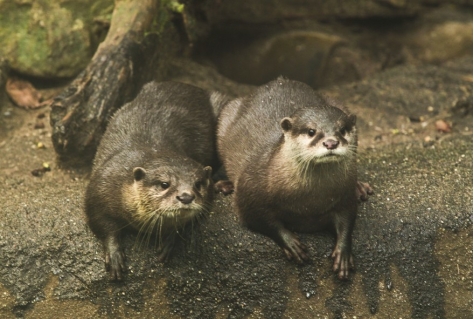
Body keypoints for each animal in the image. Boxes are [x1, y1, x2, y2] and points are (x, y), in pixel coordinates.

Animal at [84, 82, 217, 280]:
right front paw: (114, 255)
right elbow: (101, 224)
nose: (186, 197)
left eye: (198, 184)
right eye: (164, 184)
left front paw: (170, 241)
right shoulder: (100, 188)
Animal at [217, 77, 364, 280]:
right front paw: (291, 243)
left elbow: (347, 219)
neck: (310, 202)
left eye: (342, 130)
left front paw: (342, 252)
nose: (331, 142)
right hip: (226, 114)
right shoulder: (249, 192)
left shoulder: (345, 193)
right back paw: (225, 185)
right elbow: (258, 218)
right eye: (311, 131)